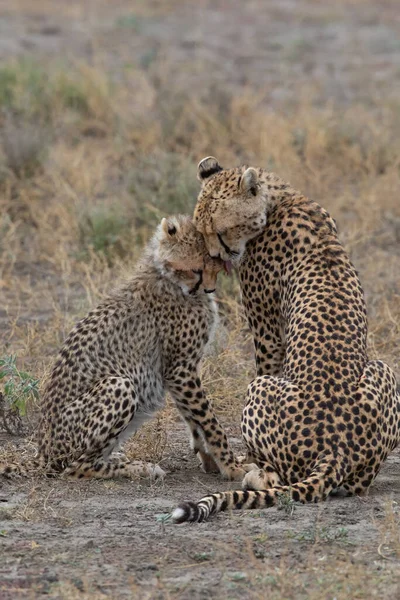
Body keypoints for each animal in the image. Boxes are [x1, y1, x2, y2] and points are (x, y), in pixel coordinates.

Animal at [0, 216, 247, 482]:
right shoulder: (180, 368)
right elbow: (208, 420)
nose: (209, 289)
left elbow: (194, 419)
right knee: (75, 467)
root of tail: (43, 453)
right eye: (195, 269)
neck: (165, 275)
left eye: (214, 264)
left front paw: (211, 460)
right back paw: (139, 467)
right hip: (119, 384)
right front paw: (233, 467)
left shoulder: (180, 371)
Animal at [173, 158, 400, 520]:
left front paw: (242, 460)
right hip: (384, 370)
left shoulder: (266, 330)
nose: (217, 258)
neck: (280, 200)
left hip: (260, 389)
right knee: (357, 485)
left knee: (277, 476)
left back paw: (254, 473)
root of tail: (335, 448)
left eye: (220, 231)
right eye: (202, 231)